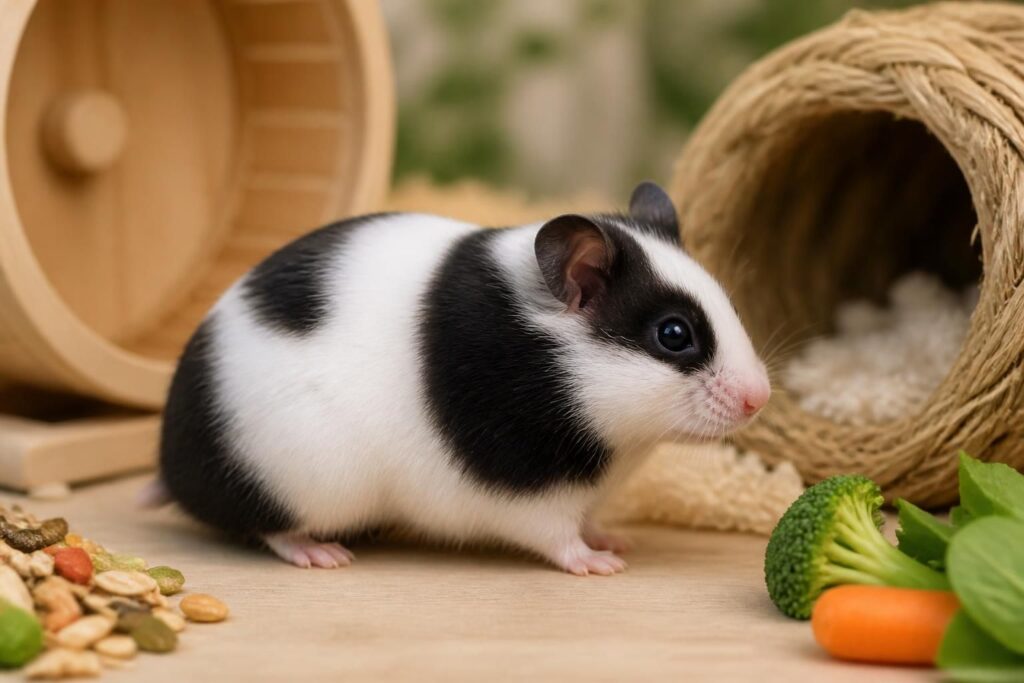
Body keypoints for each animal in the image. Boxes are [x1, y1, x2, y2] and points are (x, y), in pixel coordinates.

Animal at [155, 181, 770, 575]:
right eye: (673, 334)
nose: (759, 400)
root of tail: (173, 468)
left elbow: (589, 520)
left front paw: (618, 539)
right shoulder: (523, 494)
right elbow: (558, 537)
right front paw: (604, 564)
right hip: (297, 482)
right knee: (268, 528)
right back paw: (323, 555)